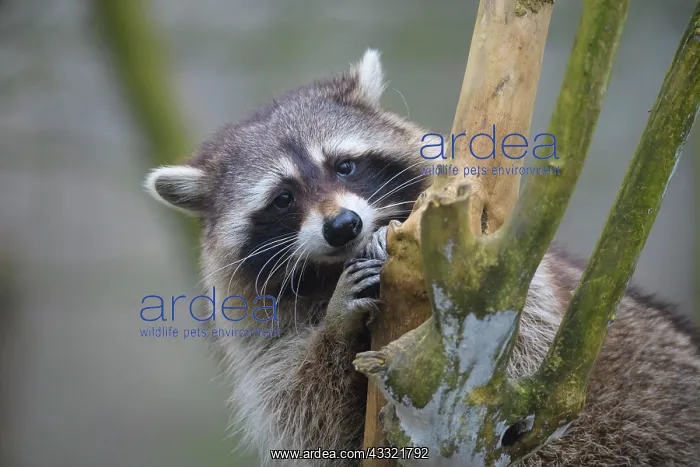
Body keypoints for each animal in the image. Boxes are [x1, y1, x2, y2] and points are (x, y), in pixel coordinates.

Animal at [144, 50, 700, 466]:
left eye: (345, 165)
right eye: (283, 199)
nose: (343, 226)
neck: (329, 270)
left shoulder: (508, 262)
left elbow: (529, 329)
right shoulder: (259, 333)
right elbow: (307, 414)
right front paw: (337, 324)